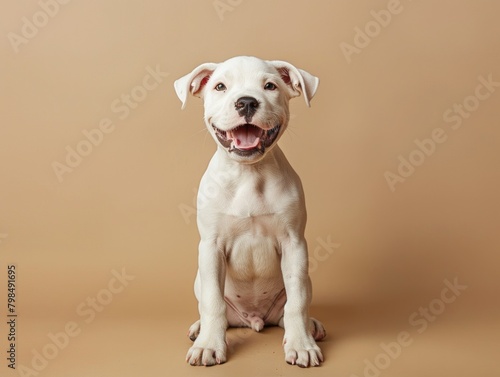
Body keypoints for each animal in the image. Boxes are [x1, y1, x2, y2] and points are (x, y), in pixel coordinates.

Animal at [174, 54, 326, 366]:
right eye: (220, 86)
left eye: (269, 86)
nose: (246, 102)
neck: (248, 173)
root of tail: (254, 319)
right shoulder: (211, 247)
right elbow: (212, 301)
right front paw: (209, 344)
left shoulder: (294, 244)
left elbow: (297, 303)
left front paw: (301, 345)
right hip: (200, 278)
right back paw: (199, 328)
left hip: (306, 280)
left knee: (293, 307)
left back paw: (311, 327)